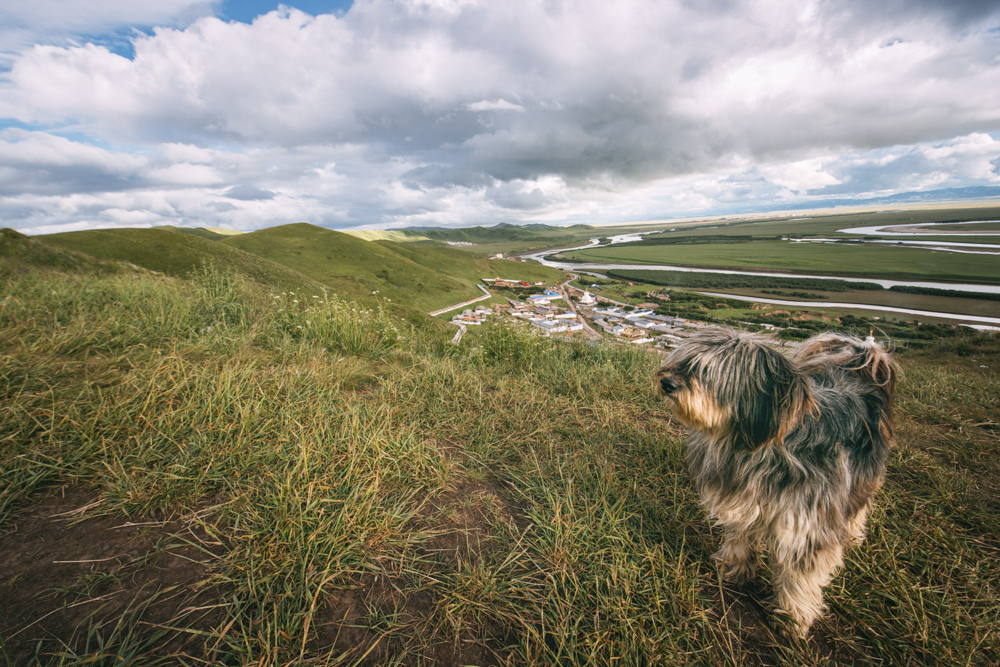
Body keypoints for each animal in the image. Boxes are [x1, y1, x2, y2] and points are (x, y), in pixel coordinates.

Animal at [656, 328, 900, 636]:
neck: (762, 447)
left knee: (859, 504)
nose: (666, 381)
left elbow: (801, 575)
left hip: (865, 473)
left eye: (707, 371)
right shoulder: (743, 500)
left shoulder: (808, 527)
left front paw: (792, 617)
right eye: (682, 361)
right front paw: (733, 566)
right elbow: (740, 536)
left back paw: (854, 535)